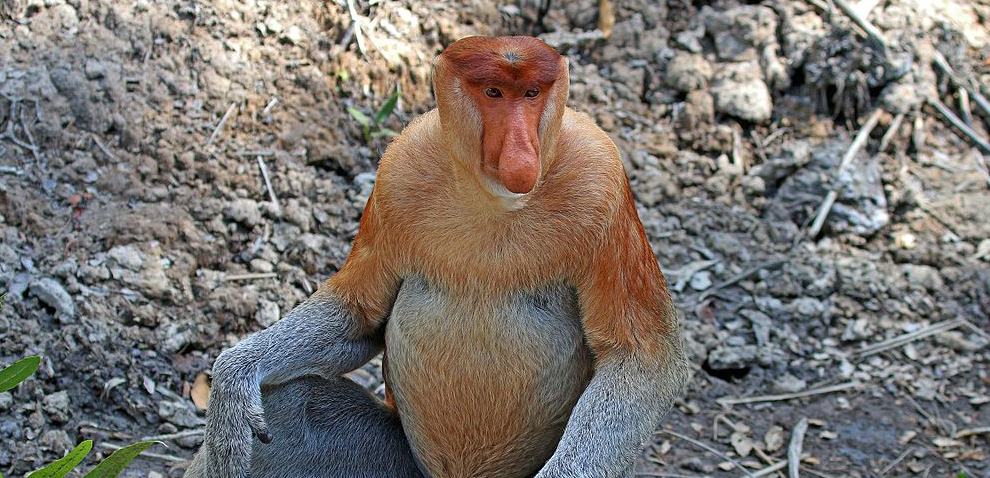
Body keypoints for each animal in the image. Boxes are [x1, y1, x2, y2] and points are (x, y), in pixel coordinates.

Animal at [186, 35, 689, 478]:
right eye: (493, 92)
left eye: (531, 94)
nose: (522, 155)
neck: (494, 200)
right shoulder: (397, 173)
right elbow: (359, 314)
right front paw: (232, 381)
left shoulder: (602, 183)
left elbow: (641, 358)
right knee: (289, 403)